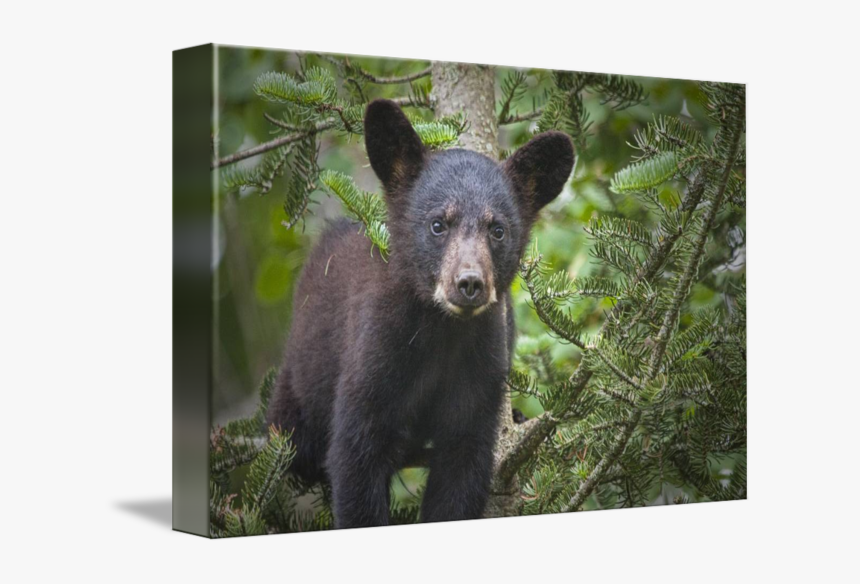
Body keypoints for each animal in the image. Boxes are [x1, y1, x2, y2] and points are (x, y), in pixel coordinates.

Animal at [267, 98, 574, 528]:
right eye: (437, 224)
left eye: (498, 230)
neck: (441, 332)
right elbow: (355, 457)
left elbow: (463, 465)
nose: (469, 283)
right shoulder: (374, 357)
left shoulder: (480, 369)